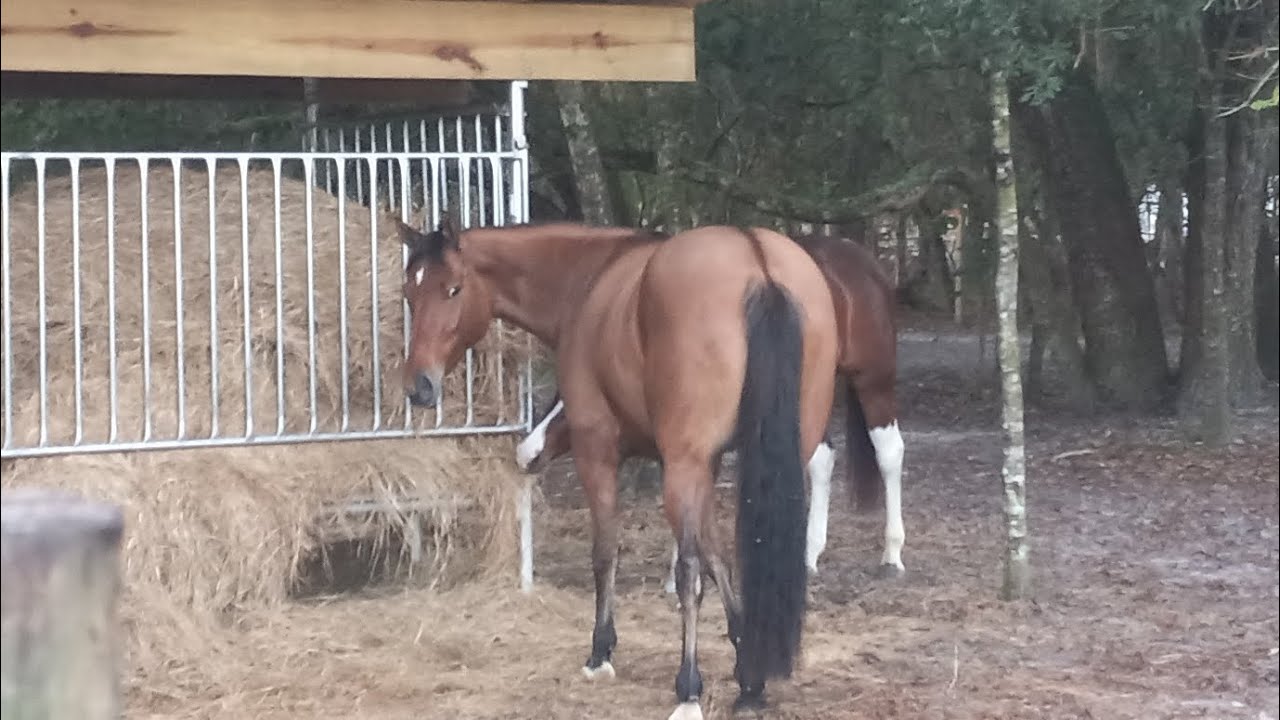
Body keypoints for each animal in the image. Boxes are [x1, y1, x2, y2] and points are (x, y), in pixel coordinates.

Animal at [399, 217, 842, 719]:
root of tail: (757, 261)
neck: (587, 279)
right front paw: (746, 659)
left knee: (687, 574)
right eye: (410, 293)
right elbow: (716, 553)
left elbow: (609, 552)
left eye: (453, 289)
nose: (419, 386)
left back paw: (688, 689)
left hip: (682, 466)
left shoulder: (601, 453)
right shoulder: (705, 465)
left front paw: (601, 651)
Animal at [515, 232, 906, 588]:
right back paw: (809, 555)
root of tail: (862, 260)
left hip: (873, 381)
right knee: (822, 459)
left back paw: (892, 553)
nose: (527, 451)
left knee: (889, 453)